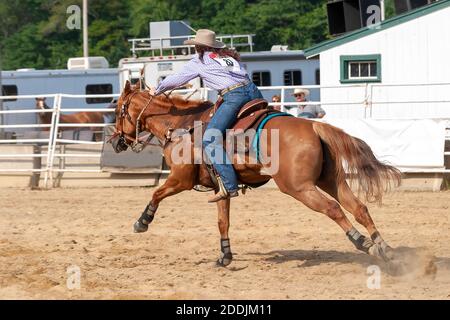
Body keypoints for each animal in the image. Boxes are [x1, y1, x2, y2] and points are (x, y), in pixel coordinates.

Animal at [110, 81, 404, 272]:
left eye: (118, 110)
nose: (115, 141)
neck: (181, 127)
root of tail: (313, 125)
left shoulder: (180, 179)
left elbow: (156, 193)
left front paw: (142, 222)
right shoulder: (221, 188)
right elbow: (223, 222)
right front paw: (225, 257)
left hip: (298, 187)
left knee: (333, 208)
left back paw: (364, 243)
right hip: (331, 180)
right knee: (359, 207)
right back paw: (386, 249)